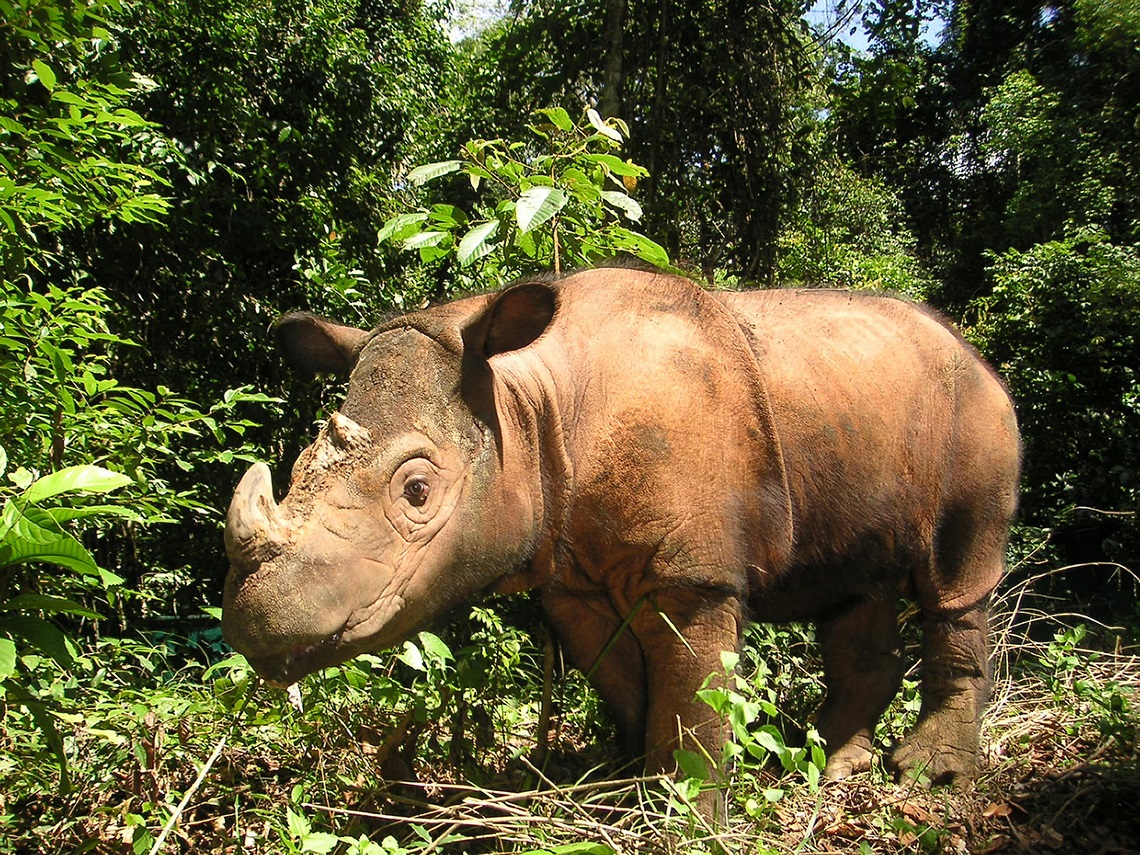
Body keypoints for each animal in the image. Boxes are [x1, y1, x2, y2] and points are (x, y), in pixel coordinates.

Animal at [217, 267, 1021, 788]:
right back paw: (831, 766)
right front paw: (619, 778)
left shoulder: (696, 574)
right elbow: (626, 679)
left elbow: (694, 696)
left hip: (976, 412)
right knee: (857, 587)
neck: (524, 397)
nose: (256, 622)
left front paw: (684, 809)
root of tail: (978, 353)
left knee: (956, 579)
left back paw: (928, 777)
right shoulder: (570, 570)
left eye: (416, 490)